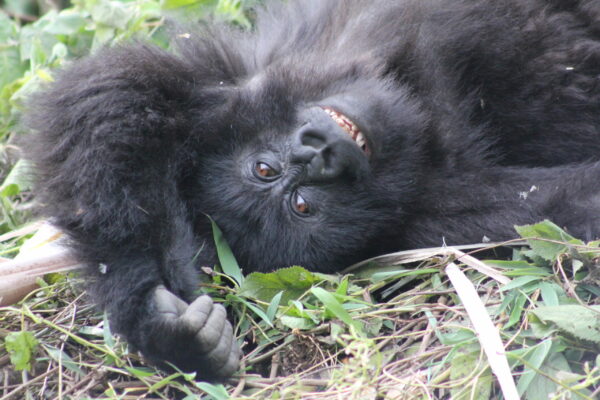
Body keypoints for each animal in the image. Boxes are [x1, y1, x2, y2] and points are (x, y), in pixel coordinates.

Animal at [25, 0, 600, 382]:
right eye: (302, 205)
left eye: (262, 169)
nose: (320, 154)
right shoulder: (444, 220)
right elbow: (569, 209)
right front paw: (171, 333)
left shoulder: (210, 81)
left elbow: (101, 105)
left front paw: (156, 310)